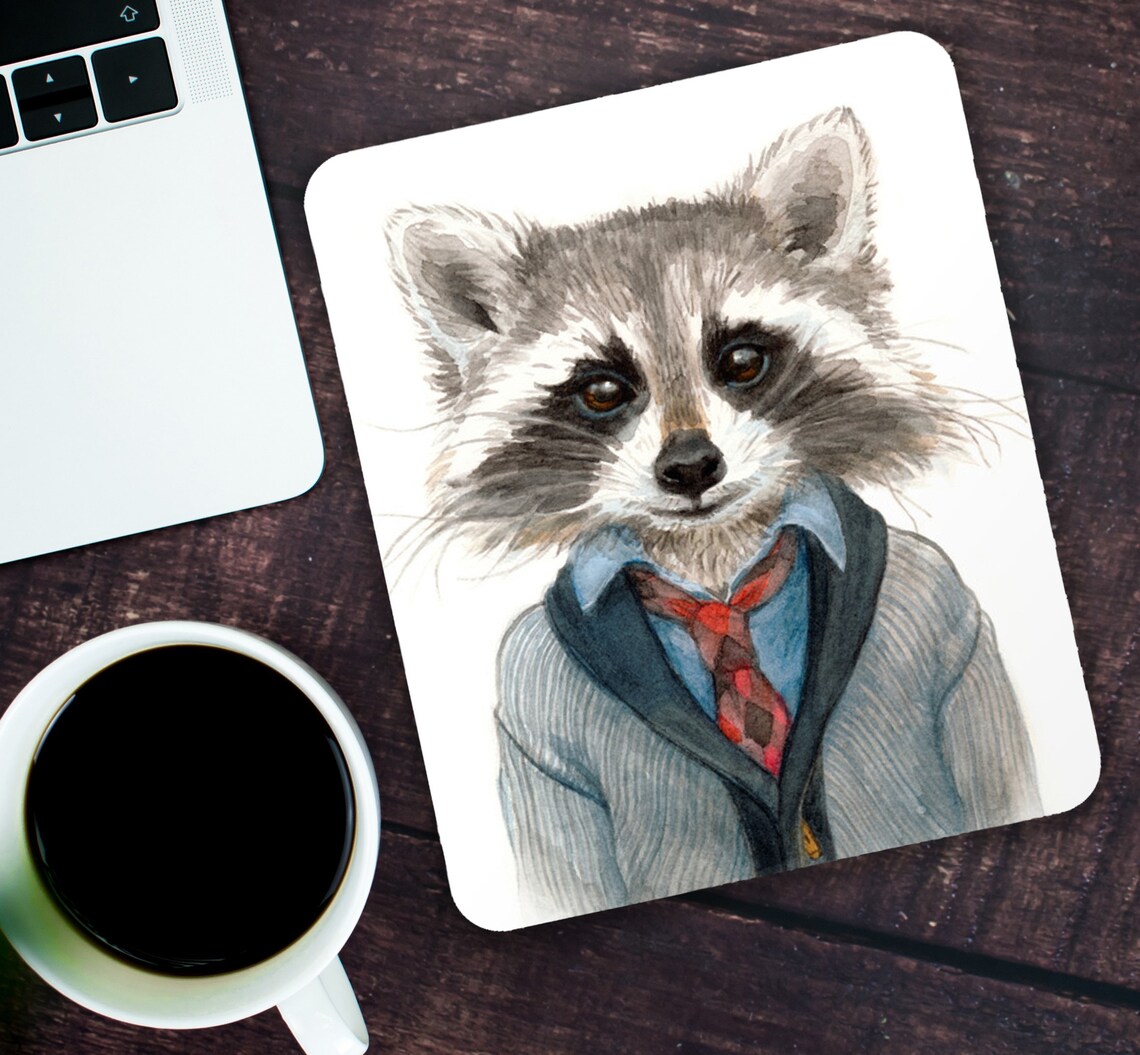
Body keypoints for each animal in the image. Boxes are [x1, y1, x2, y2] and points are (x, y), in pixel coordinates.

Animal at [389, 108, 1040, 922]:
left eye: (740, 360)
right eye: (602, 389)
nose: (692, 467)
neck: (715, 562)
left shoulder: (954, 623)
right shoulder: (529, 706)